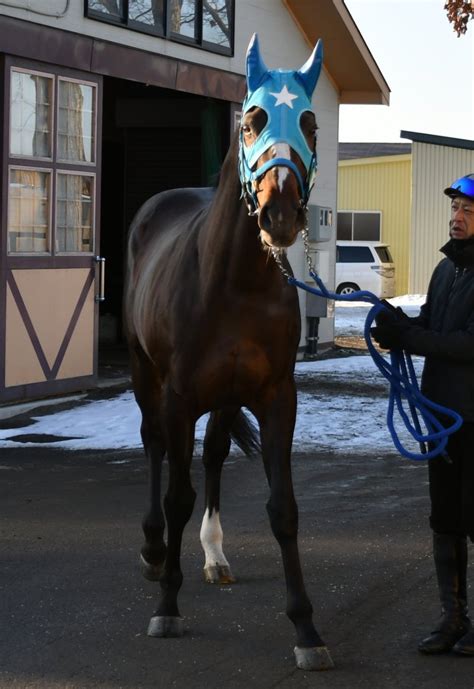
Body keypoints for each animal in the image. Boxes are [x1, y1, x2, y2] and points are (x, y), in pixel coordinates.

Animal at [126, 35, 334, 668]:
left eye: (311, 123)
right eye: (252, 120)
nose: (281, 214)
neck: (236, 282)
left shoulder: (275, 396)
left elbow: (283, 508)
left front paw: (306, 628)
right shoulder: (177, 396)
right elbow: (178, 494)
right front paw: (168, 607)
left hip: (224, 396)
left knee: (215, 453)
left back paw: (214, 556)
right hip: (145, 375)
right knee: (153, 448)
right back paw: (154, 550)